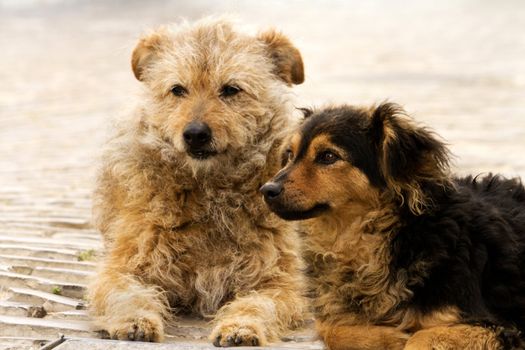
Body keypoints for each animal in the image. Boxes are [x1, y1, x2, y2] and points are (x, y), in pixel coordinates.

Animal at [87, 17, 308, 346]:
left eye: (231, 89)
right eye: (178, 89)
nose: (195, 134)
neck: (209, 191)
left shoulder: (278, 280)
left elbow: (258, 305)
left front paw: (241, 327)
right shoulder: (124, 267)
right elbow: (127, 296)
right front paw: (135, 321)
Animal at [258, 102, 524, 348]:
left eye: (328, 156)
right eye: (289, 155)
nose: (267, 190)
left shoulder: (503, 324)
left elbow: (421, 337)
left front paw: (404, 338)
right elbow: (330, 328)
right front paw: (391, 338)